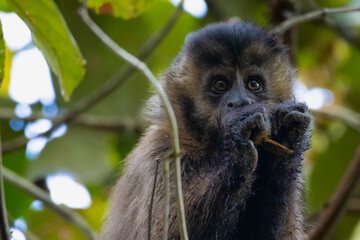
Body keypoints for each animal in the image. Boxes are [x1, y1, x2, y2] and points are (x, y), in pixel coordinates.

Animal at [99, 21, 312, 240]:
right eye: (220, 84)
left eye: (253, 84)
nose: (241, 102)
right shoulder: (159, 153)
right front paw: (238, 142)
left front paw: (287, 138)